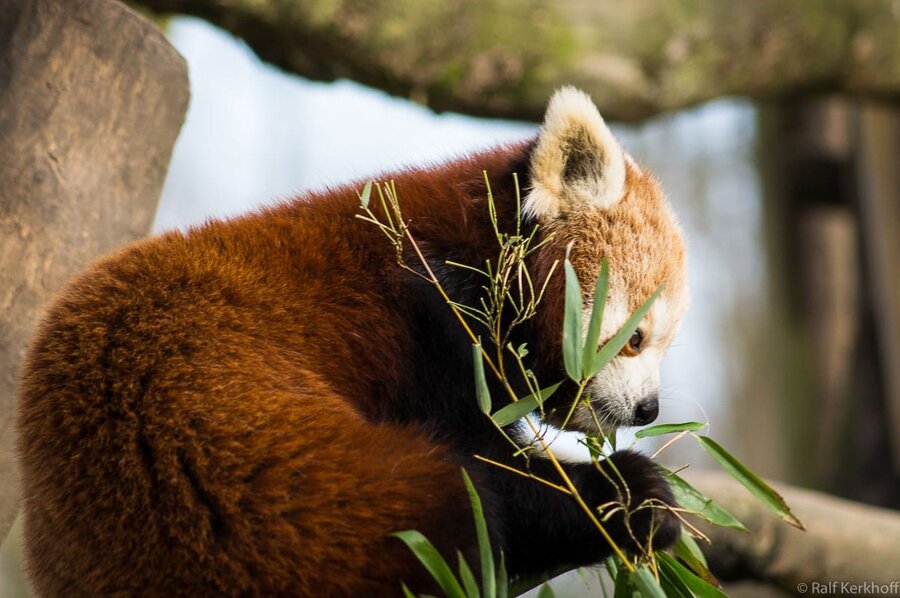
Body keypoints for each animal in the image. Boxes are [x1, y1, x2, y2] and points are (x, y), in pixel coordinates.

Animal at [16, 87, 688, 596]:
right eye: (635, 339)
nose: (649, 410)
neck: (467, 250)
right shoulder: (425, 324)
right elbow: (496, 471)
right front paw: (628, 495)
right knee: (458, 504)